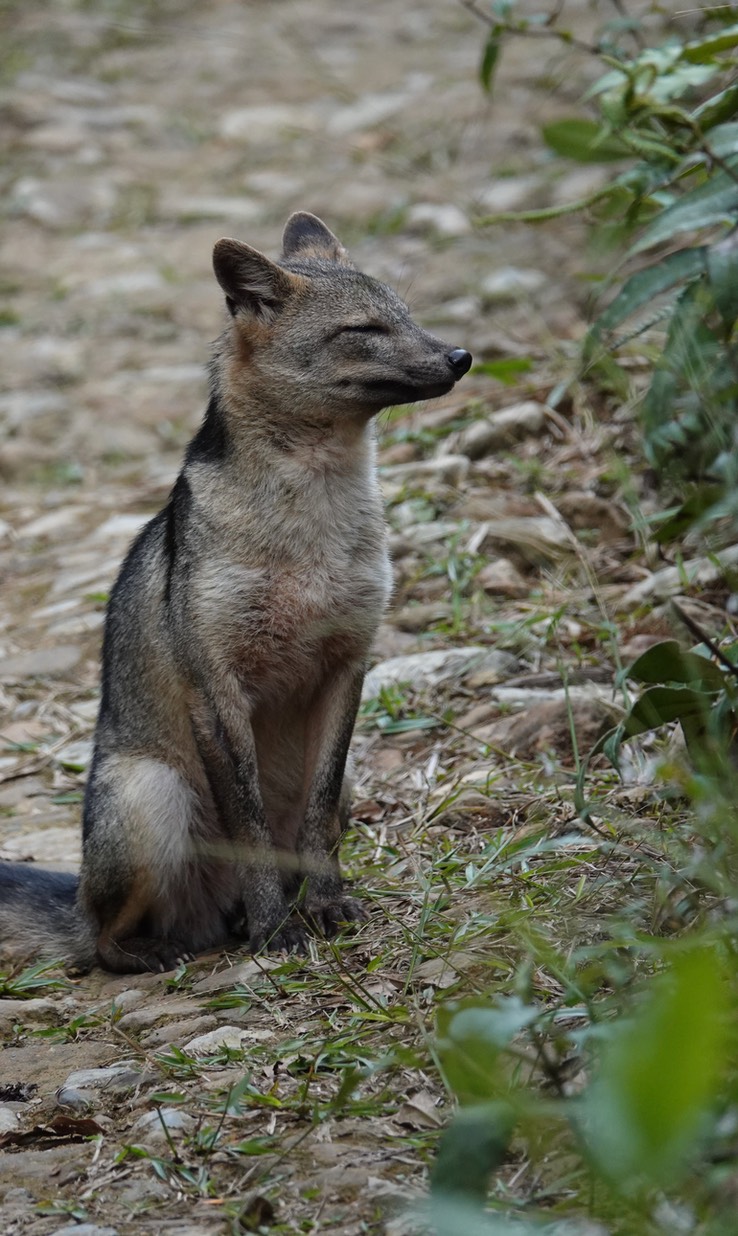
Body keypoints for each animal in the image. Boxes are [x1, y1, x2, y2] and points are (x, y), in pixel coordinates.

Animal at [0, 215, 472, 973]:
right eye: (363, 329)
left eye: (407, 316)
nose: (461, 356)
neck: (308, 528)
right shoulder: (216, 688)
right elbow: (248, 830)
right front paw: (277, 930)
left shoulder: (347, 666)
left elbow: (315, 821)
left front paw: (325, 906)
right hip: (153, 800)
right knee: (101, 942)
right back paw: (167, 947)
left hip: (342, 787)